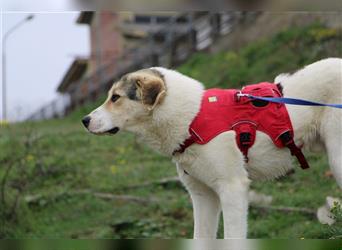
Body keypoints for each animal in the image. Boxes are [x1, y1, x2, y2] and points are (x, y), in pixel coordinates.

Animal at [83, 58, 342, 238]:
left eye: (115, 97)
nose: (84, 120)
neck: (192, 118)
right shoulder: (203, 197)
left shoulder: (232, 189)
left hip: (337, 160)